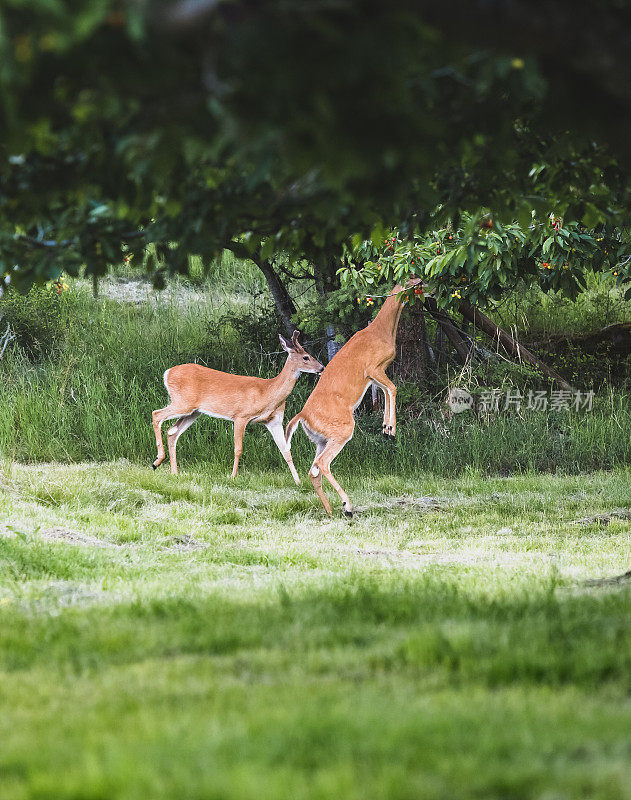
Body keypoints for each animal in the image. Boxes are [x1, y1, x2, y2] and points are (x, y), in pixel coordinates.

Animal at [151, 332, 324, 482]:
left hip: (193, 412)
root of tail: (167, 373)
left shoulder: (274, 420)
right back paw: (157, 460)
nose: (322, 368)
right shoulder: (241, 415)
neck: (267, 392)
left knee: (172, 431)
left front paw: (298, 481)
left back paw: (174, 472)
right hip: (182, 402)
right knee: (156, 414)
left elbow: (286, 450)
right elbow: (238, 449)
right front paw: (233, 476)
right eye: (306, 357)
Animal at [288, 282, 424, 520]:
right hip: (342, 429)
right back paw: (347, 506)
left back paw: (330, 510)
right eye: (416, 282)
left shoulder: (374, 375)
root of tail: (302, 416)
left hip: (321, 439)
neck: (381, 332)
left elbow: (385, 391)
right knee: (322, 463)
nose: (425, 288)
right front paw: (390, 429)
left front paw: (386, 428)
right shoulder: (373, 367)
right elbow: (393, 388)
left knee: (313, 470)